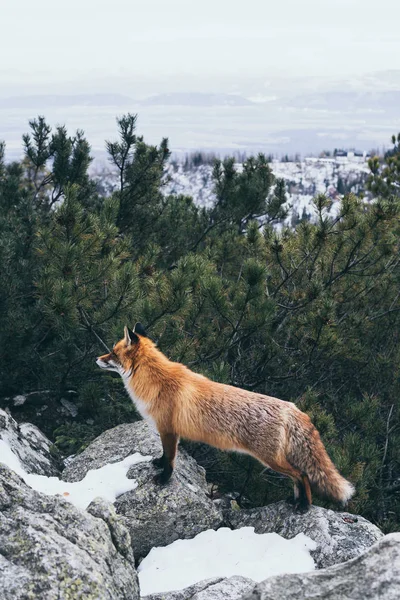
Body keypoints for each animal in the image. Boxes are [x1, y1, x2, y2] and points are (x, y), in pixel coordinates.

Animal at [96, 324, 354, 510]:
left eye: (113, 353)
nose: (96, 359)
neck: (156, 381)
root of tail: (293, 407)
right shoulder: (169, 431)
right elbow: (164, 455)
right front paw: (158, 464)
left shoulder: (168, 429)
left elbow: (170, 459)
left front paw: (164, 479)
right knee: (298, 478)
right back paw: (295, 502)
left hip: (270, 460)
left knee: (302, 475)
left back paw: (305, 506)